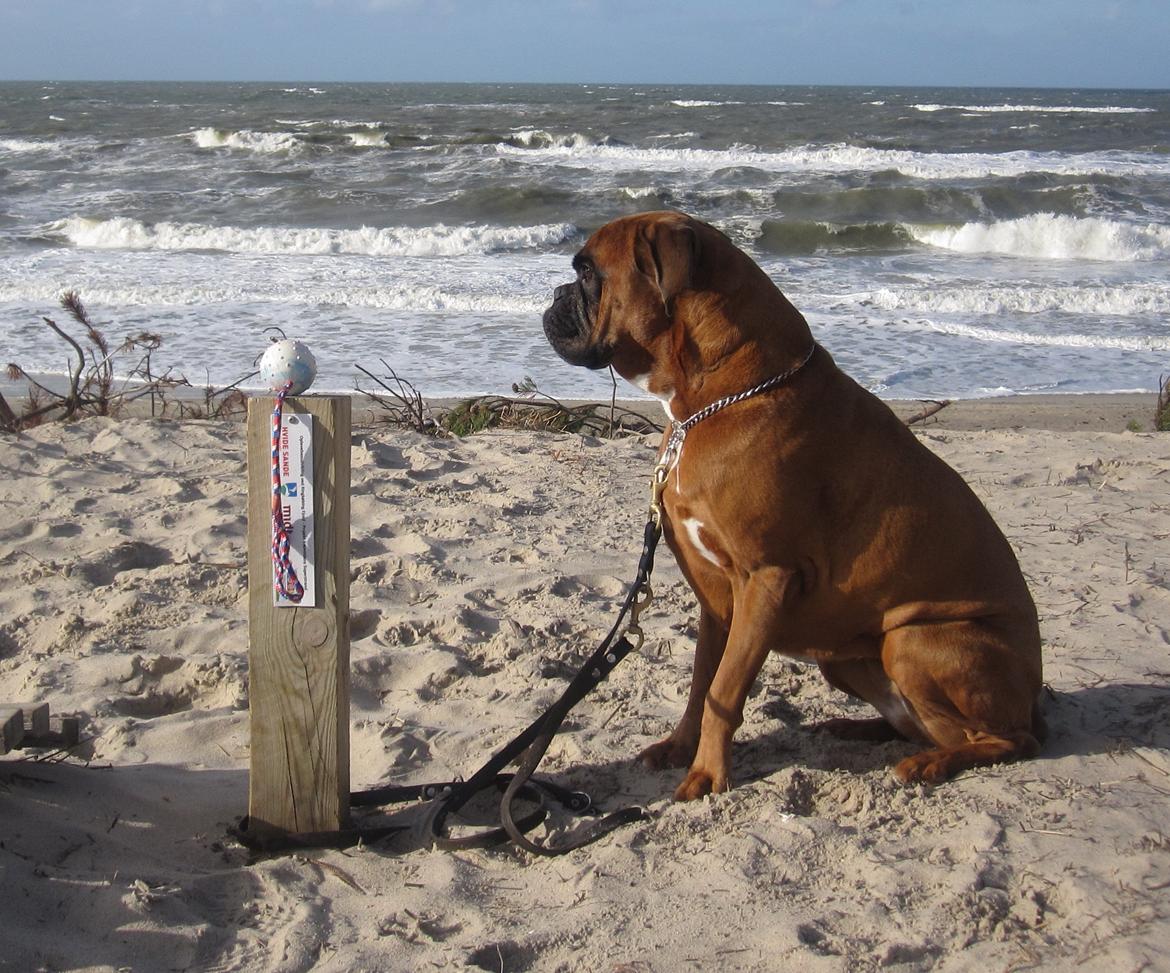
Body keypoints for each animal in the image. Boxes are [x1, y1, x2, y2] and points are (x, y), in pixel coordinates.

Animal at [542, 212, 1048, 799]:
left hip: (912, 639)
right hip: (848, 660)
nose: (555, 293)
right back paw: (857, 729)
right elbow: (702, 683)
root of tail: (1034, 701)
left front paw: (708, 774)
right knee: (921, 725)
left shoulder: (765, 580)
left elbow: (726, 690)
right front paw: (680, 748)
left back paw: (933, 763)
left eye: (587, 273)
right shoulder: (719, 601)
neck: (716, 396)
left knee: (1006, 739)